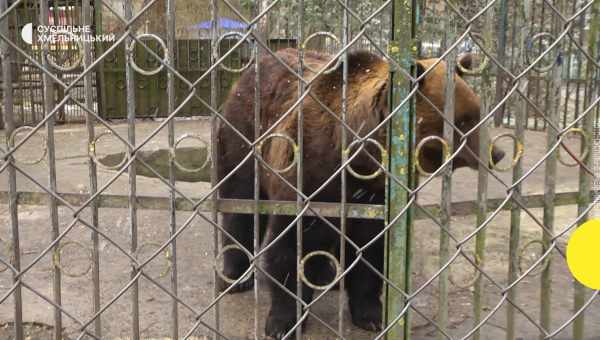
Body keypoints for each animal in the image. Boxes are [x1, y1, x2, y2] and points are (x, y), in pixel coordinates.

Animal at [216, 47, 502, 338]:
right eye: (463, 120)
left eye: (477, 113)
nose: (497, 153)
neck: (360, 161)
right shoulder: (307, 174)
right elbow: (289, 246)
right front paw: (283, 321)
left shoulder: (375, 197)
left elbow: (371, 252)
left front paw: (370, 315)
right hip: (243, 136)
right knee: (239, 202)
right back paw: (235, 276)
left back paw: (327, 275)